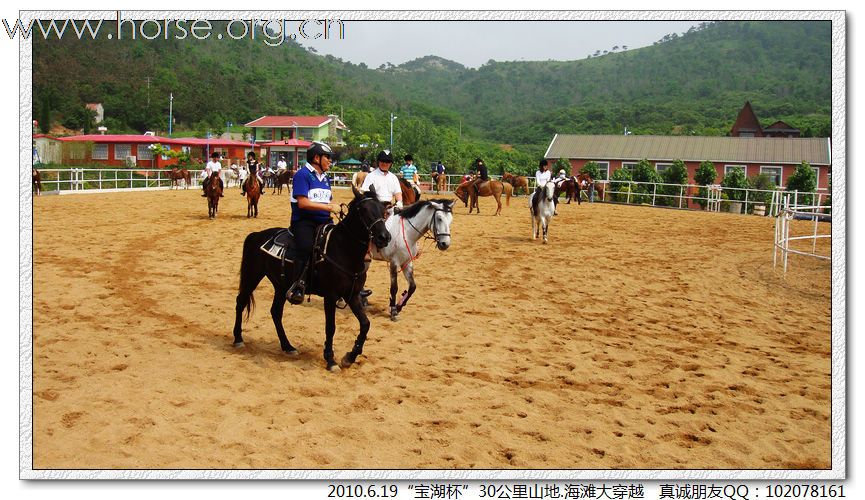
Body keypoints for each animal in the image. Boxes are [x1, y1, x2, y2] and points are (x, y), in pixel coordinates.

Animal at [231, 188, 390, 372]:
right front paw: (330, 360)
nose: (384, 237)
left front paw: (349, 357)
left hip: (281, 285)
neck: (343, 250)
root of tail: (256, 235)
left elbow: (365, 324)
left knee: (276, 312)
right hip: (252, 275)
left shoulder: (353, 295)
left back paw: (287, 346)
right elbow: (330, 327)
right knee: (241, 302)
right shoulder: (331, 296)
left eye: (383, 211)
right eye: (363, 210)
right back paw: (238, 339)